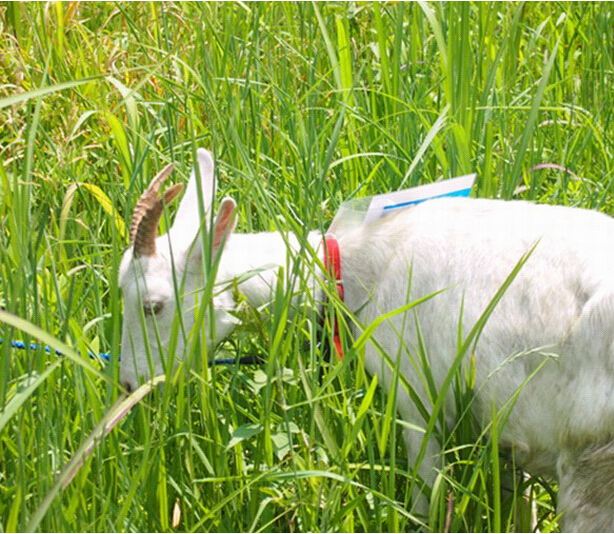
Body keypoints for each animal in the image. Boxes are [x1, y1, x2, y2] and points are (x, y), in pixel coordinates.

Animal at [121, 149, 614, 532]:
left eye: (152, 306)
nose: (128, 382)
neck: (350, 273)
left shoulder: (418, 401)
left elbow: (426, 503)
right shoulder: (508, 432)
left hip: (589, 460)